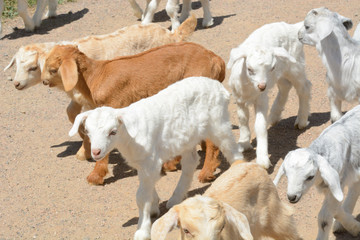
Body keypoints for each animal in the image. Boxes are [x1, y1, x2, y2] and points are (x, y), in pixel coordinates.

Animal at [41, 42, 225, 185]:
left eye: (53, 69)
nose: (43, 81)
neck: (94, 76)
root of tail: (217, 60)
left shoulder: (112, 106)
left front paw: (95, 177)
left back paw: (206, 172)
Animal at [68, 77, 242, 240]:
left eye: (113, 132)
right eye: (88, 131)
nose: (96, 152)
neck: (128, 136)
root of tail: (219, 87)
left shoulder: (149, 161)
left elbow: (141, 197)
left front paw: (142, 230)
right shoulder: (144, 163)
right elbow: (149, 188)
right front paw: (153, 207)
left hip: (219, 124)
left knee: (234, 153)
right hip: (187, 138)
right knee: (191, 161)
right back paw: (176, 198)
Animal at [228, 21, 312, 169]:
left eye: (272, 68)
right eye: (249, 69)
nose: (262, 86)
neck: (250, 88)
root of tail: (293, 27)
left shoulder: (261, 99)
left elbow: (260, 126)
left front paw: (263, 160)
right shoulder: (239, 98)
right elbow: (242, 119)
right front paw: (244, 143)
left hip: (294, 66)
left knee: (304, 88)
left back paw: (301, 120)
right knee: (285, 86)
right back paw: (273, 116)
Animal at [274, 105, 360, 240]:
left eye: (310, 177)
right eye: (286, 175)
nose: (292, 197)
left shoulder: (337, 182)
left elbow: (324, 219)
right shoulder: (333, 187)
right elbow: (336, 209)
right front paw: (354, 227)